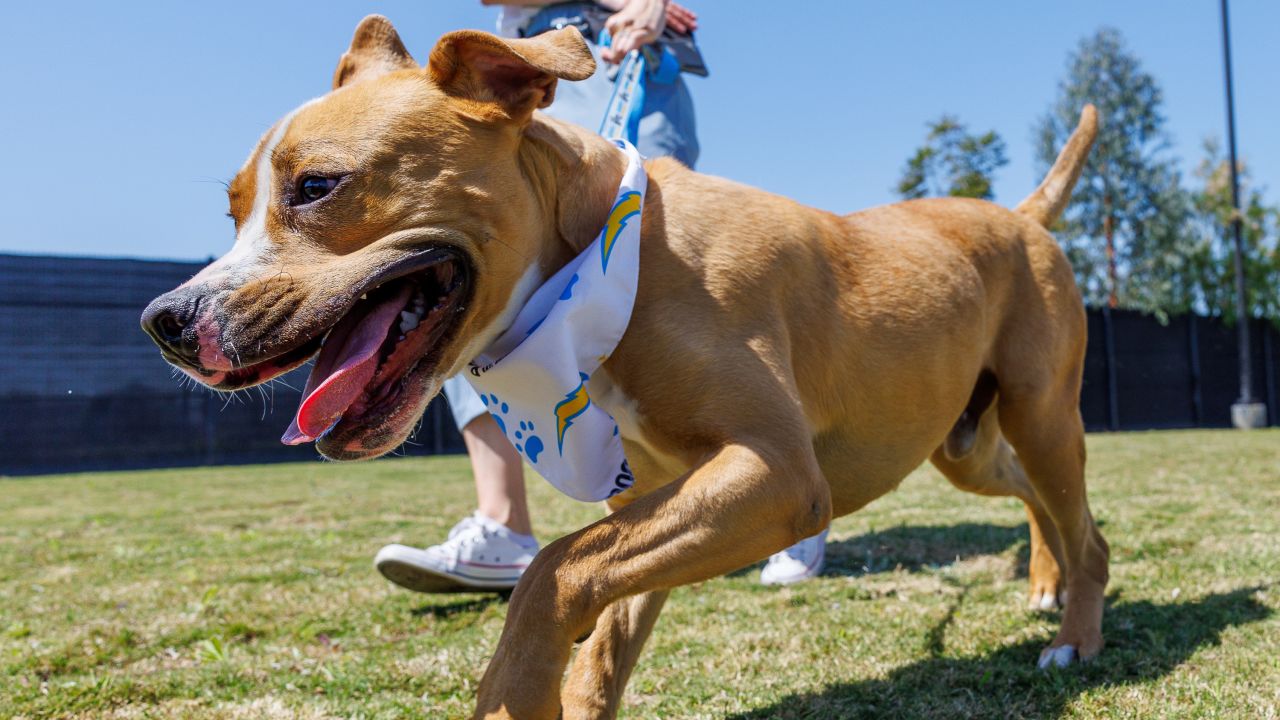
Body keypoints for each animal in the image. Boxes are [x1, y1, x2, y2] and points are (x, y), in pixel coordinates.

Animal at [142, 16, 1111, 717]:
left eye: (317, 187)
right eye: (234, 209)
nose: (166, 322)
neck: (607, 257)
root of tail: (1021, 215)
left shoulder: (773, 472)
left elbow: (552, 571)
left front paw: (513, 691)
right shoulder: (654, 495)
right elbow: (602, 616)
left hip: (1040, 413)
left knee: (1086, 527)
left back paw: (1076, 633)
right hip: (962, 443)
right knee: (1034, 498)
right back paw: (1045, 580)